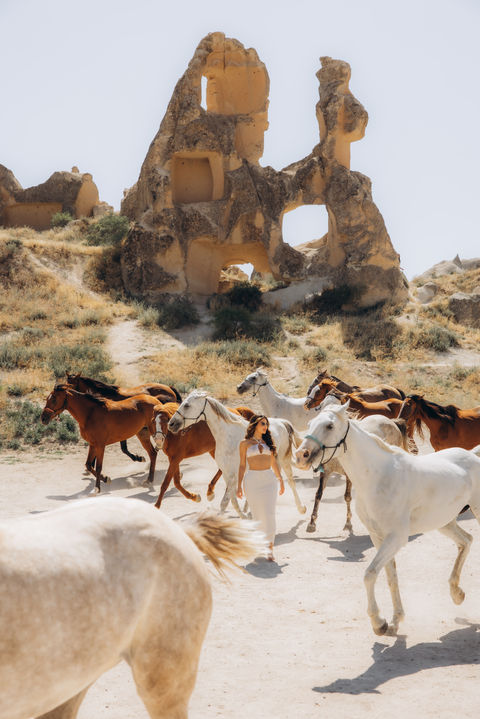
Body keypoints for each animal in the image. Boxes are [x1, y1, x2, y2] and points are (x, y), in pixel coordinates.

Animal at [167, 391, 306, 517]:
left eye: (187, 405)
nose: (171, 424)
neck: (227, 436)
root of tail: (283, 422)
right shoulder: (227, 473)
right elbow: (232, 500)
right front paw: (243, 515)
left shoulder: (232, 475)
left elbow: (225, 502)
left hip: (284, 459)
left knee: (290, 481)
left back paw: (301, 508)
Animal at [295, 401, 480, 635]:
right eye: (310, 423)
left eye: (329, 426)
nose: (301, 456)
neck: (378, 477)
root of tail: (473, 455)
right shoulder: (378, 537)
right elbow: (390, 577)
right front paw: (394, 620)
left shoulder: (396, 538)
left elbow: (370, 574)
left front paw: (378, 622)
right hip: (444, 522)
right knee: (466, 541)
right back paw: (457, 593)